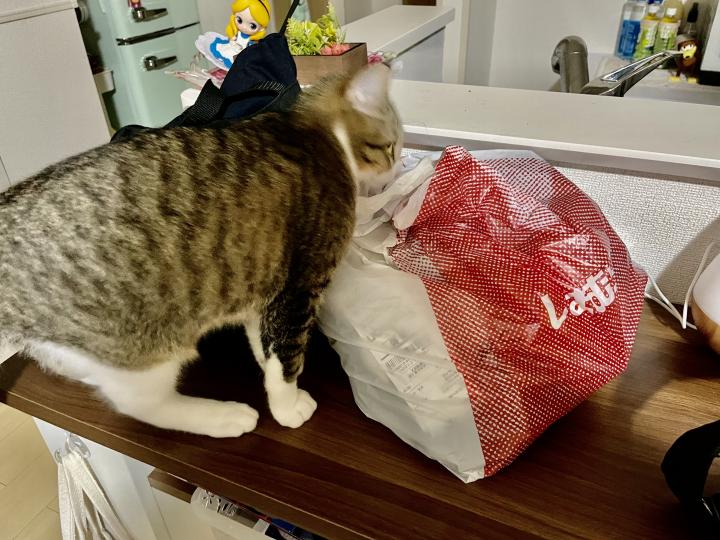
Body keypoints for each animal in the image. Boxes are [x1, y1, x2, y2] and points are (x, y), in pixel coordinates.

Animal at [0, 63, 403, 437]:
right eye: (393, 145)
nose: (396, 170)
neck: (318, 135)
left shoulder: (265, 287)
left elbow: (264, 345)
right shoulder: (300, 287)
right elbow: (286, 359)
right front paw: (288, 407)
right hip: (142, 347)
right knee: (140, 405)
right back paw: (223, 417)